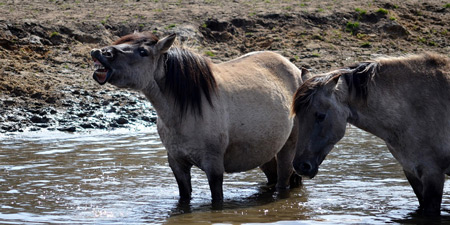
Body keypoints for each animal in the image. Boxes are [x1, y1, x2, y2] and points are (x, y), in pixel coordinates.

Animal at [89, 31, 306, 206]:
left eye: (143, 52)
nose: (100, 53)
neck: (183, 113)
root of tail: (295, 70)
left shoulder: (214, 167)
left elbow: (216, 200)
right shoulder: (177, 164)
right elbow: (184, 197)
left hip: (288, 149)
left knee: (283, 183)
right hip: (265, 152)